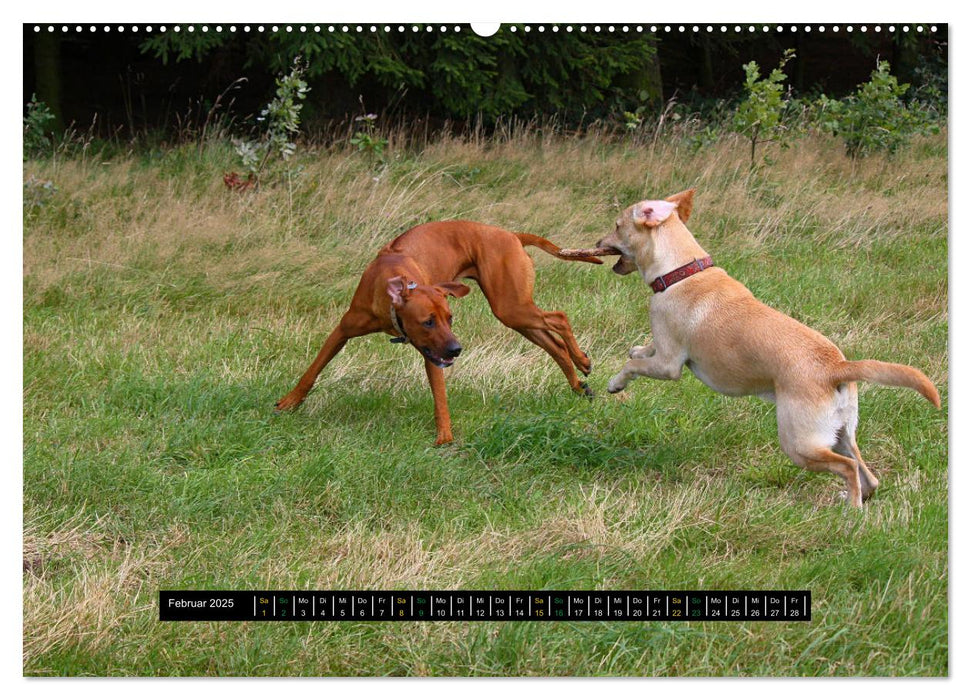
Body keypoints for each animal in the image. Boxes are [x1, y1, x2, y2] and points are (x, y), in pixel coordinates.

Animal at [274, 221, 604, 446]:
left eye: (450, 318)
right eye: (428, 322)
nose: (457, 350)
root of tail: (511, 234)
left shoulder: (434, 355)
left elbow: (440, 397)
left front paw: (445, 437)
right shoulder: (343, 330)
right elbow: (312, 370)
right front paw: (289, 402)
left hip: (512, 307)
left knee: (559, 318)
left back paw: (582, 361)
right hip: (514, 314)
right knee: (554, 344)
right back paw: (577, 383)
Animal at [600, 189, 940, 506]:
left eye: (617, 226)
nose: (598, 240)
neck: (680, 271)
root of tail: (837, 367)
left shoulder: (669, 364)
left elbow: (633, 366)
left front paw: (616, 383)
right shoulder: (662, 349)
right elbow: (642, 350)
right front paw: (636, 349)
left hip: (799, 443)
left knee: (847, 468)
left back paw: (851, 513)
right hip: (841, 433)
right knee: (867, 474)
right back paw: (854, 499)